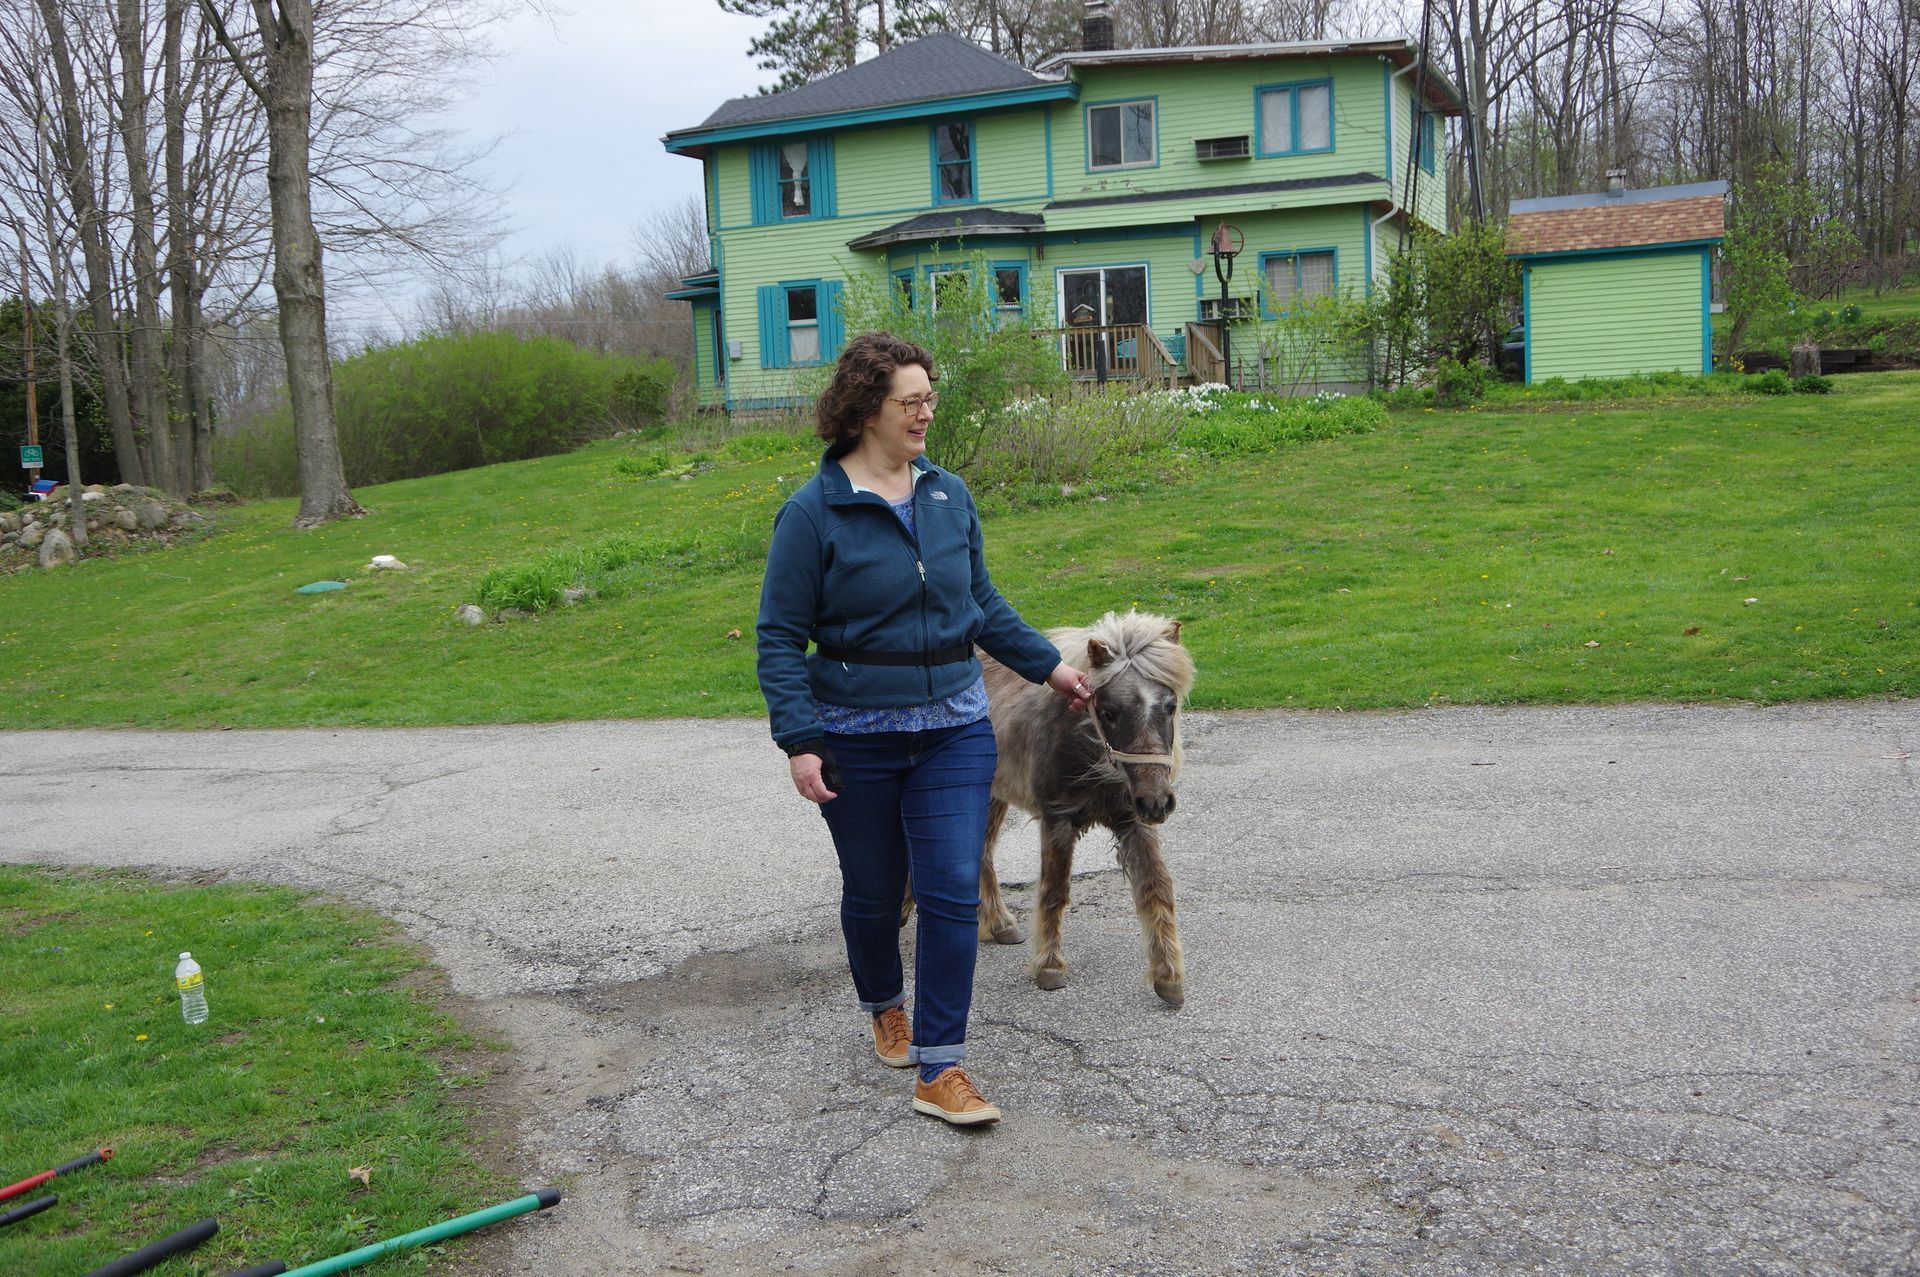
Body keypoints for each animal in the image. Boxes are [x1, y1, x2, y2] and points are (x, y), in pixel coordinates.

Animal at [907, 610, 1196, 1007]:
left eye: (1170, 706)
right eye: (1109, 712)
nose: (1157, 802)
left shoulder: (1134, 821)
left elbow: (1156, 887)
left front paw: (1168, 975)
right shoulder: (1057, 820)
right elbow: (1055, 892)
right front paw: (1049, 966)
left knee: (981, 854)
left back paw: (998, 923)